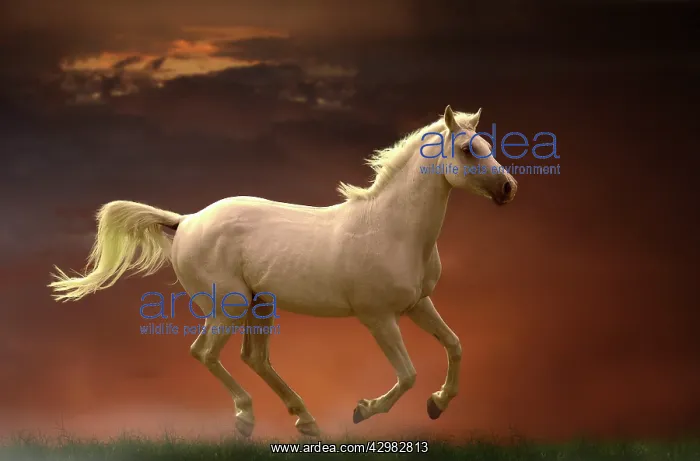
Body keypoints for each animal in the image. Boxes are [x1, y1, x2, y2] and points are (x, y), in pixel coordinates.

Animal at [49, 105, 518, 438]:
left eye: (485, 144)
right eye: (466, 149)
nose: (508, 187)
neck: (391, 229)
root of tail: (186, 220)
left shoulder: (419, 304)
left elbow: (455, 346)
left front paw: (438, 404)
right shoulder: (378, 317)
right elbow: (407, 375)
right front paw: (363, 411)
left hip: (260, 305)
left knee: (254, 358)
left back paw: (305, 420)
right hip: (229, 306)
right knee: (205, 353)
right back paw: (246, 419)